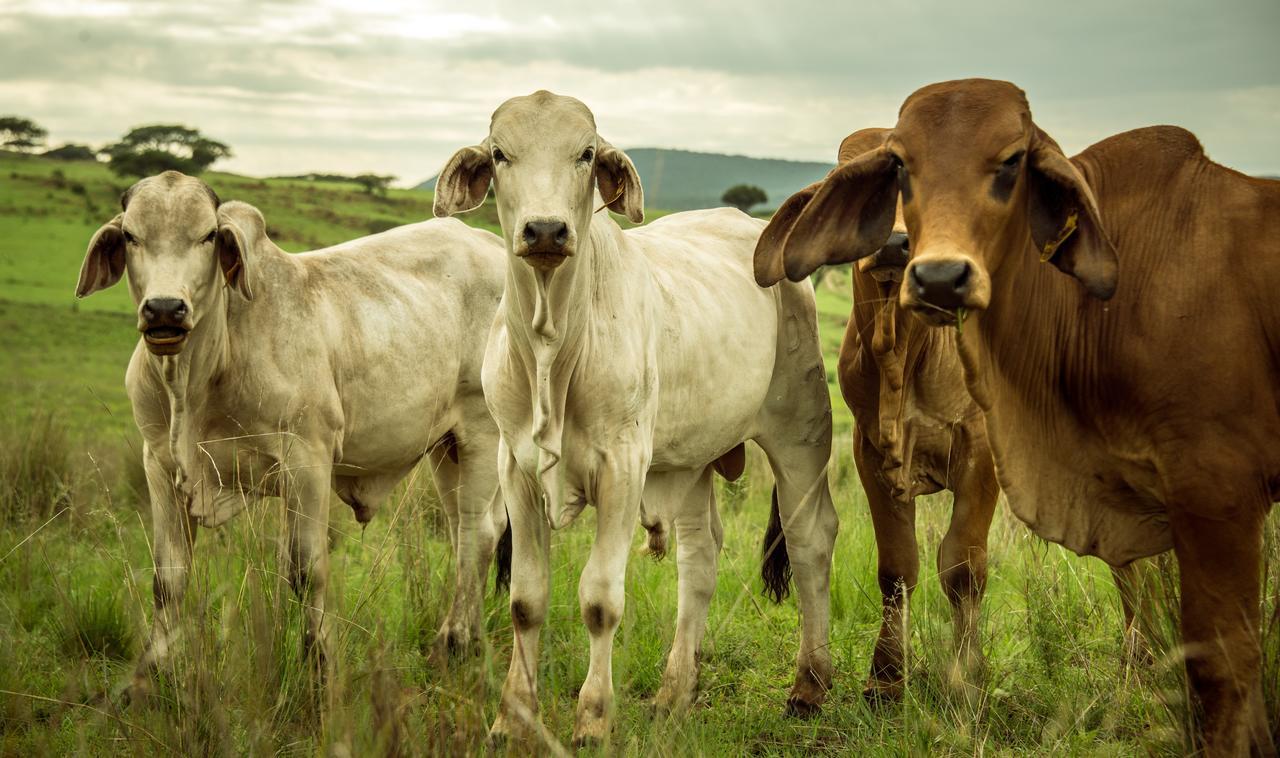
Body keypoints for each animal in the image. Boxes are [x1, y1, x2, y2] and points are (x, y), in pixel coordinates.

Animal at [76, 174, 509, 696]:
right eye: (131, 236)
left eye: (207, 235)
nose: (164, 309)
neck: (198, 377)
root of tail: (492, 245)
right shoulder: (159, 465)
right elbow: (168, 577)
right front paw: (148, 677)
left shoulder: (308, 462)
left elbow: (306, 572)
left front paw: (319, 670)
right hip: (446, 448)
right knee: (467, 530)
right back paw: (466, 641)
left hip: (482, 431)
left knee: (478, 534)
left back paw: (455, 644)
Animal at [435, 90, 844, 747]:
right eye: (499, 154)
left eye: (585, 153)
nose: (545, 229)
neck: (552, 346)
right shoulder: (515, 467)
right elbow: (526, 599)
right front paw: (511, 717)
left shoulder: (623, 467)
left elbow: (600, 600)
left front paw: (593, 720)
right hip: (692, 458)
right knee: (700, 558)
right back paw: (675, 691)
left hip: (800, 431)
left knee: (810, 540)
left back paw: (809, 685)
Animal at [768, 80, 1280, 752]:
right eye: (883, 176)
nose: (899, 248)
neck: (904, 354)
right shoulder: (873, 454)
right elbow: (897, 569)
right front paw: (885, 682)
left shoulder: (983, 451)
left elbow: (962, 569)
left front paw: (967, 682)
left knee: (1132, 572)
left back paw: (1138, 664)